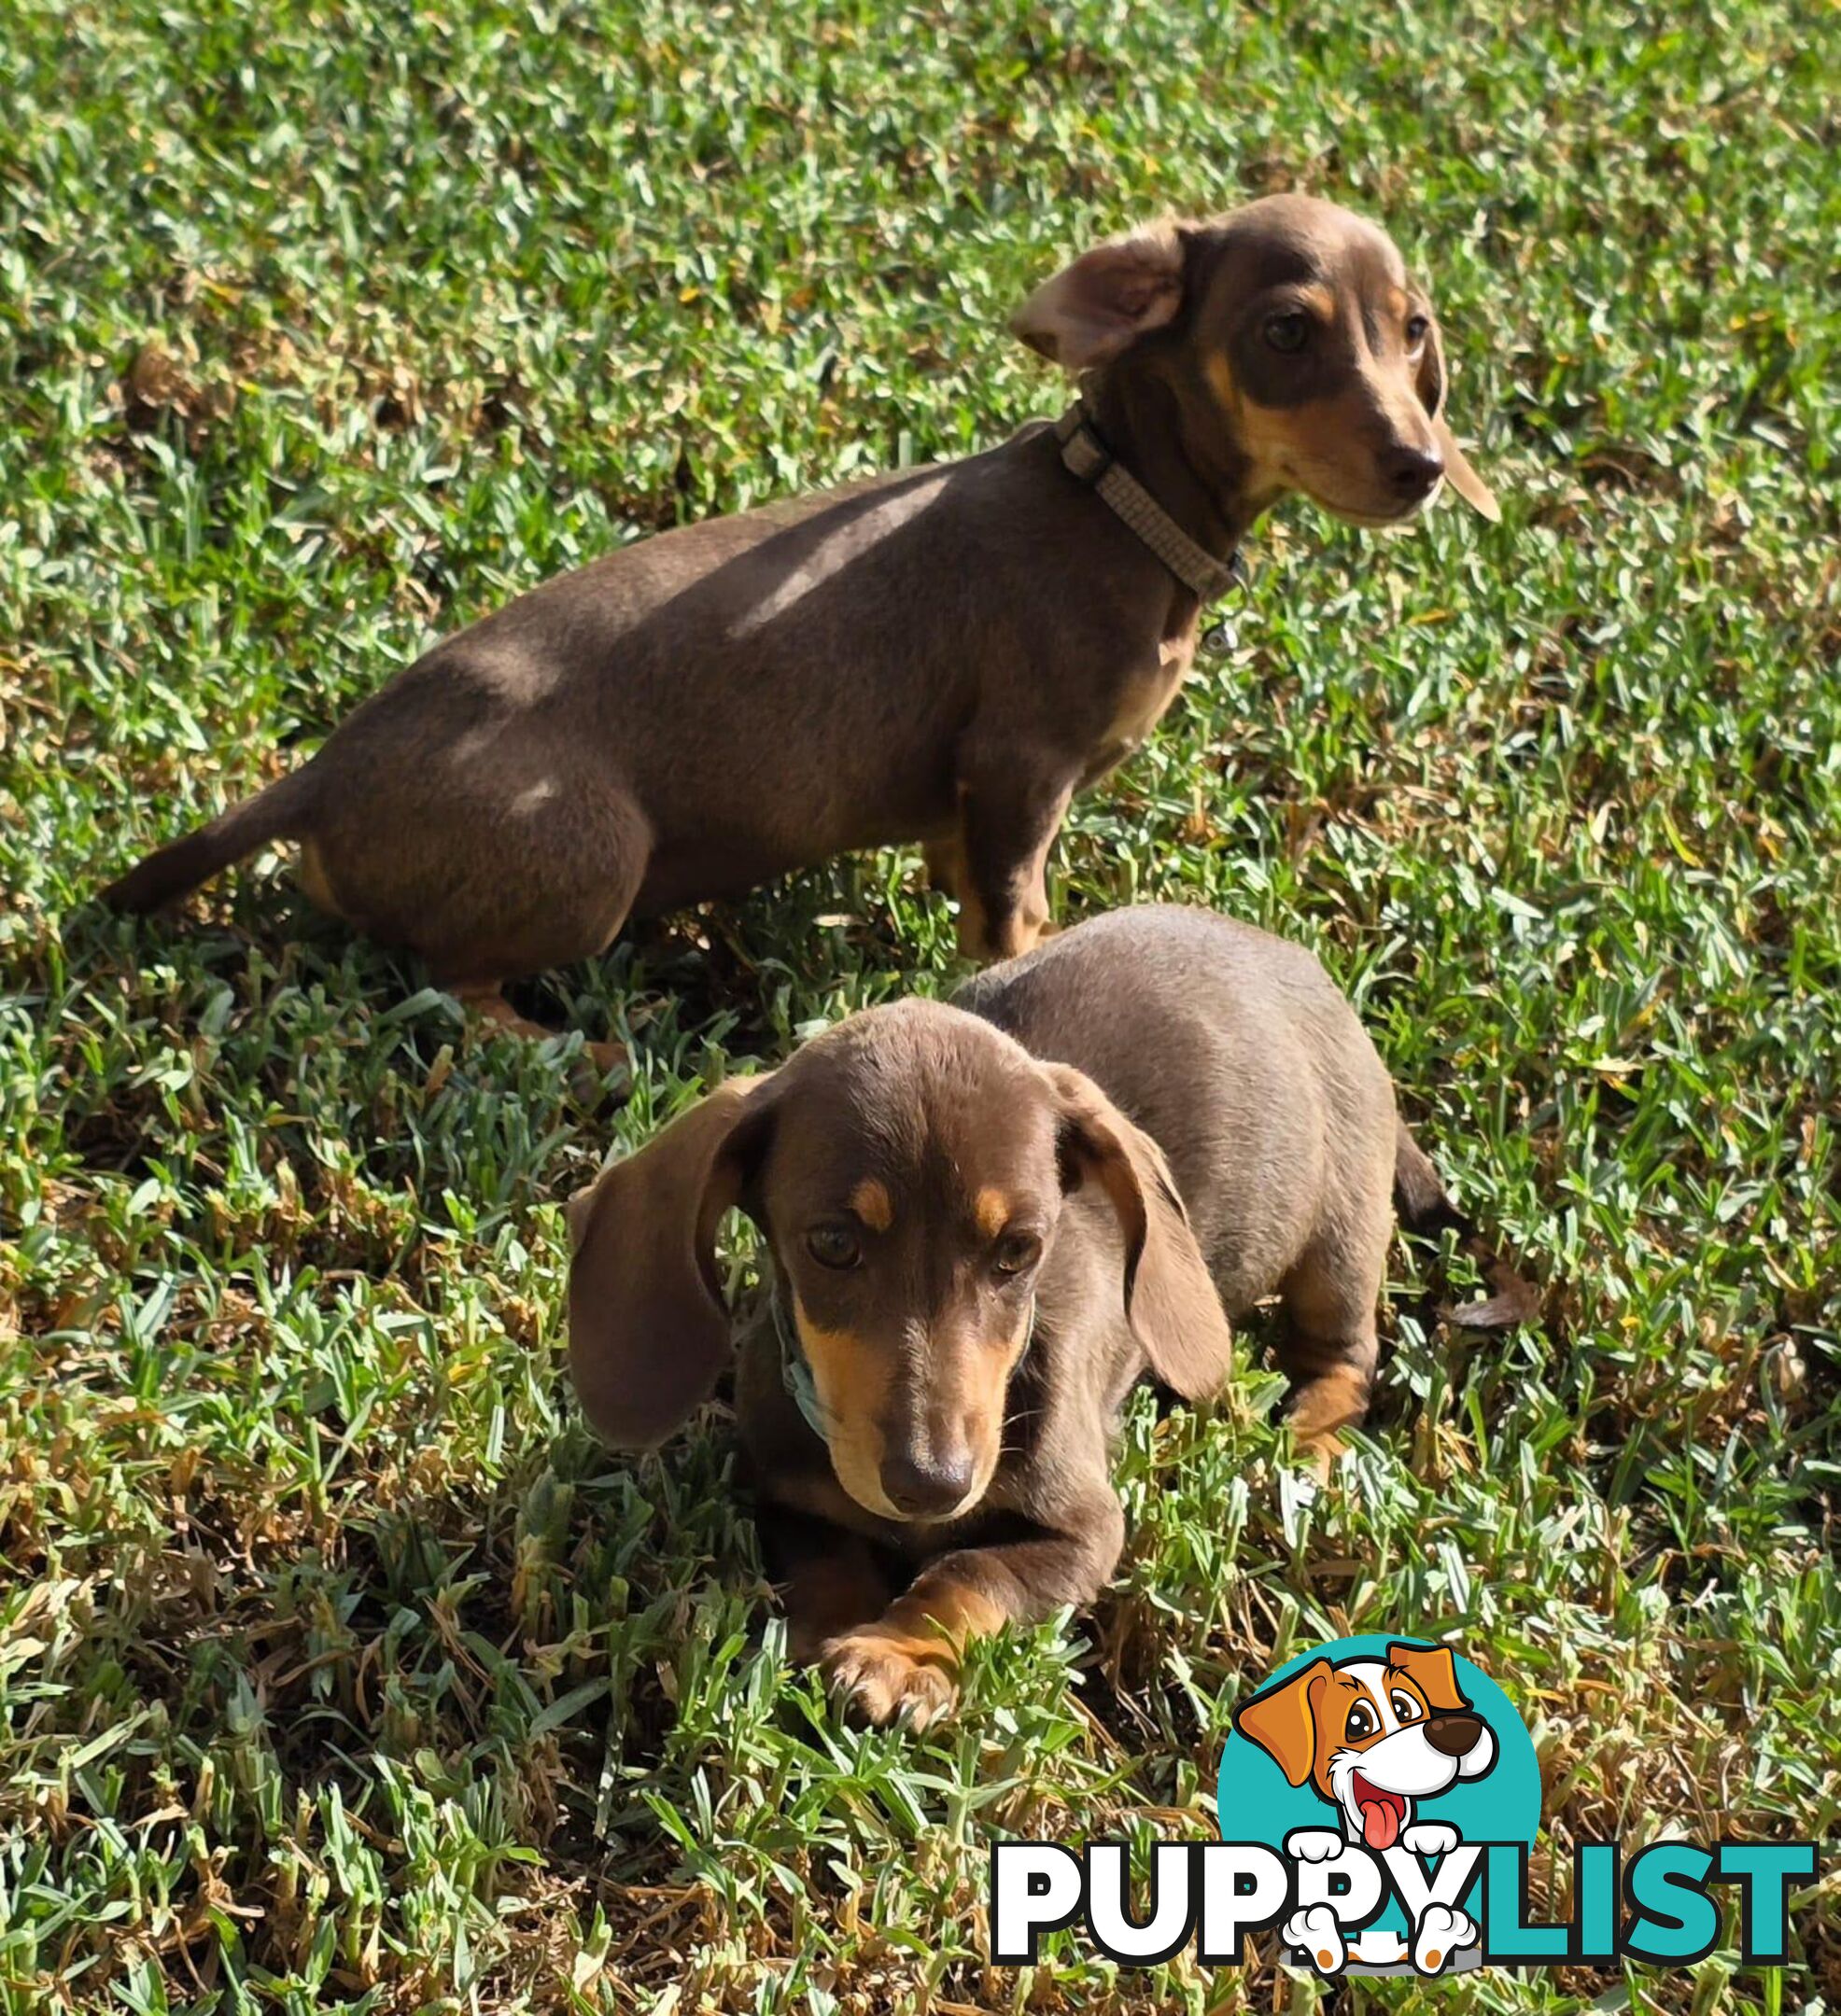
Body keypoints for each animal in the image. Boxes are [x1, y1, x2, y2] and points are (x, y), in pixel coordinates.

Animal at [107, 194, 1492, 1040]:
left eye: (1415, 333)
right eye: (1285, 333)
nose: (1421, 467)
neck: (1121, 506)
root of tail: (323, 776)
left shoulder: (976, 801)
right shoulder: (1019, 767)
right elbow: (1012, 923)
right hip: (590, 853)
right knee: (454, 988)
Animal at [569, 907, 1532, 1725]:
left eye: (1019, 1251)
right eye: (832, 1244)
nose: (934, 1484)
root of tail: (1306, 971)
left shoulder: (1083, 1532)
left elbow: (968, 1574)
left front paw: (896, 1654)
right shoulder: (782, 1497)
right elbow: (829, 1563)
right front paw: (836, 1633)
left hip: (1336, 1235)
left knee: (1346, 1356)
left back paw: (1305, 1443)